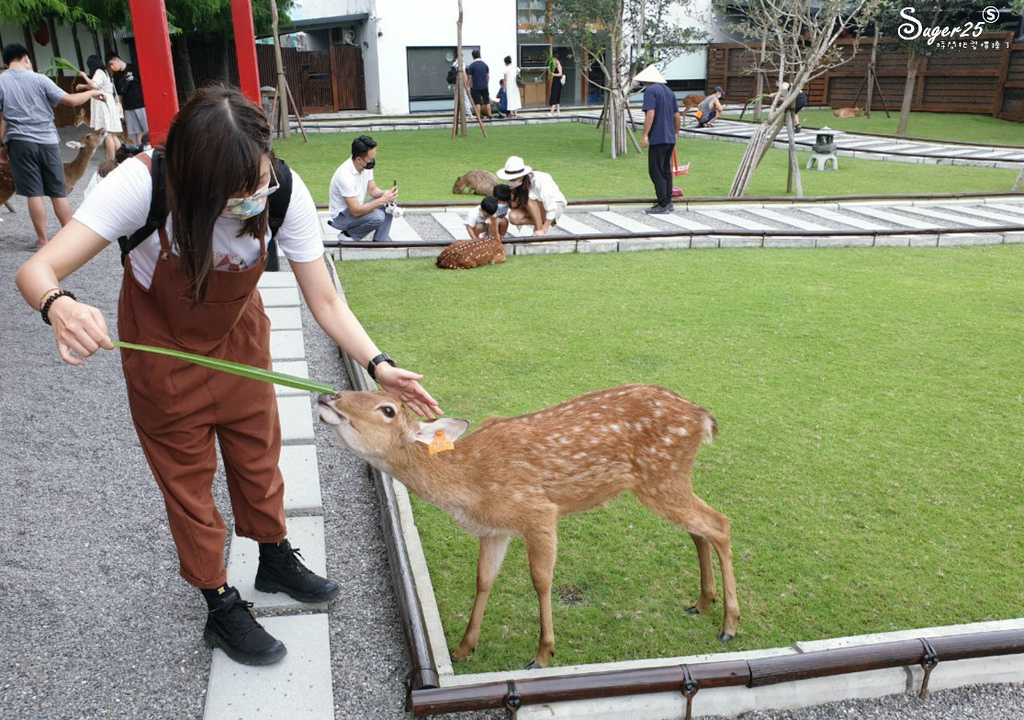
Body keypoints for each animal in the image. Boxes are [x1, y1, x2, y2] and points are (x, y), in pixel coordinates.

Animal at [317, 383, 737, 671]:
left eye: (387, 409)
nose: (329, 398)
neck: (471, 486)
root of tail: (704, 419)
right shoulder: (494, 530)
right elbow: (483, 580)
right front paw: (464, 648)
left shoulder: (538, 513)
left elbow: (541, 580)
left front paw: (542, 653)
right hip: (668, 481)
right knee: (699, 529)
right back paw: (702, 602)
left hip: (662, 477)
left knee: (719, 523)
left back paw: (729, 624)